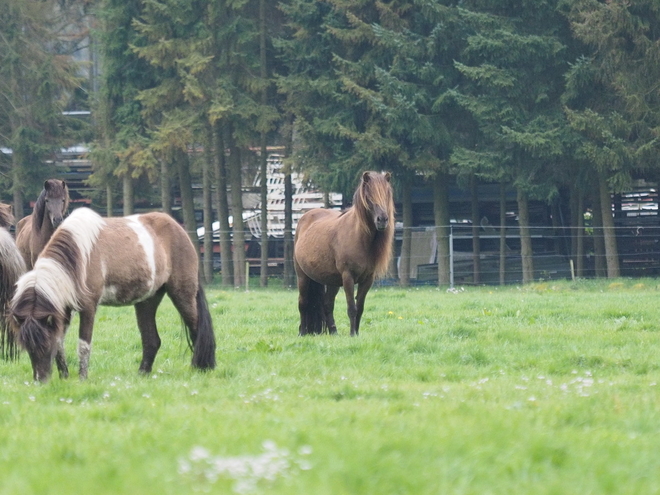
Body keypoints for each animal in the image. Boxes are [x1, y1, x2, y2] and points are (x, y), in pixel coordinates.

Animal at [9, 207, 217, 382]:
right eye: (27, 348)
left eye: (44, 344)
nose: (40, 380)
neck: (78, 257)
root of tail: (179, 229)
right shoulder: (63, 311)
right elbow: (60, 344)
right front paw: (64, 376)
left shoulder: (88, 308)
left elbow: (83, 345)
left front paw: (82, 378)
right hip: (146, 301)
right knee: (152, 340)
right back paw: (143, 373)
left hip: (183, 295)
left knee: (197, 330)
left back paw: (202, 367)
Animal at [294, 170, 392, 338]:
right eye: (369, 196)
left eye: (387, 193)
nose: (382, 220)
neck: (359, 238)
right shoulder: (348, 277)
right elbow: (351, 307)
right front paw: (352, 334)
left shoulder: (368, 280)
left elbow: (360, 307)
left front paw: (356, 333)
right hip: (303, 277)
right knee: (303, 303)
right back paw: (303, 332)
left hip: (332, 281)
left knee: (327, 304)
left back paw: (333, 332)